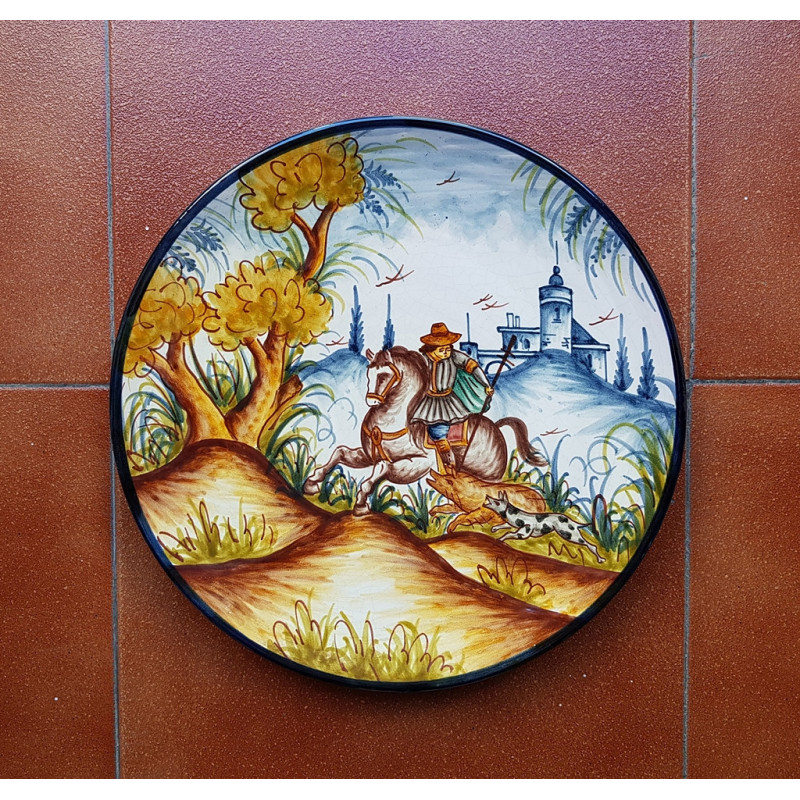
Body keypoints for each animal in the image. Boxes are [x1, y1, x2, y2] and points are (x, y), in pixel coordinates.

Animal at [304, 346, 546, 514]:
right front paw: (312, 482)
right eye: (369, 373)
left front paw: (361, 503)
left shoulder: (419, 464)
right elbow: (341, 452)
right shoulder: (367, 454)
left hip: (490, 477)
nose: (371, 401)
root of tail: (496, 427)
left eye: (384, 375)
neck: (396, 420)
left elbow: (383, 468)